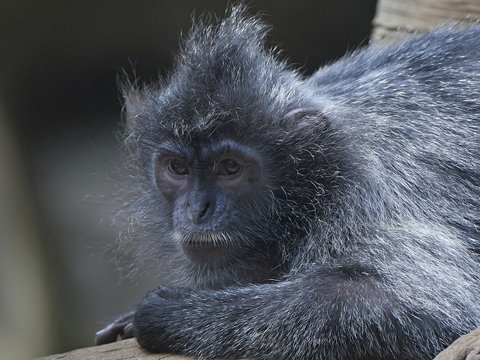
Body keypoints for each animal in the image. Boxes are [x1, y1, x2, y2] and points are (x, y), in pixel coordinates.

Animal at [94, 5, 480, 360]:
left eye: (230, 167)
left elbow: (414, 305)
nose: (197, 209)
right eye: (178, 168)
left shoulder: (365, 192)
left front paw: (170, 310)